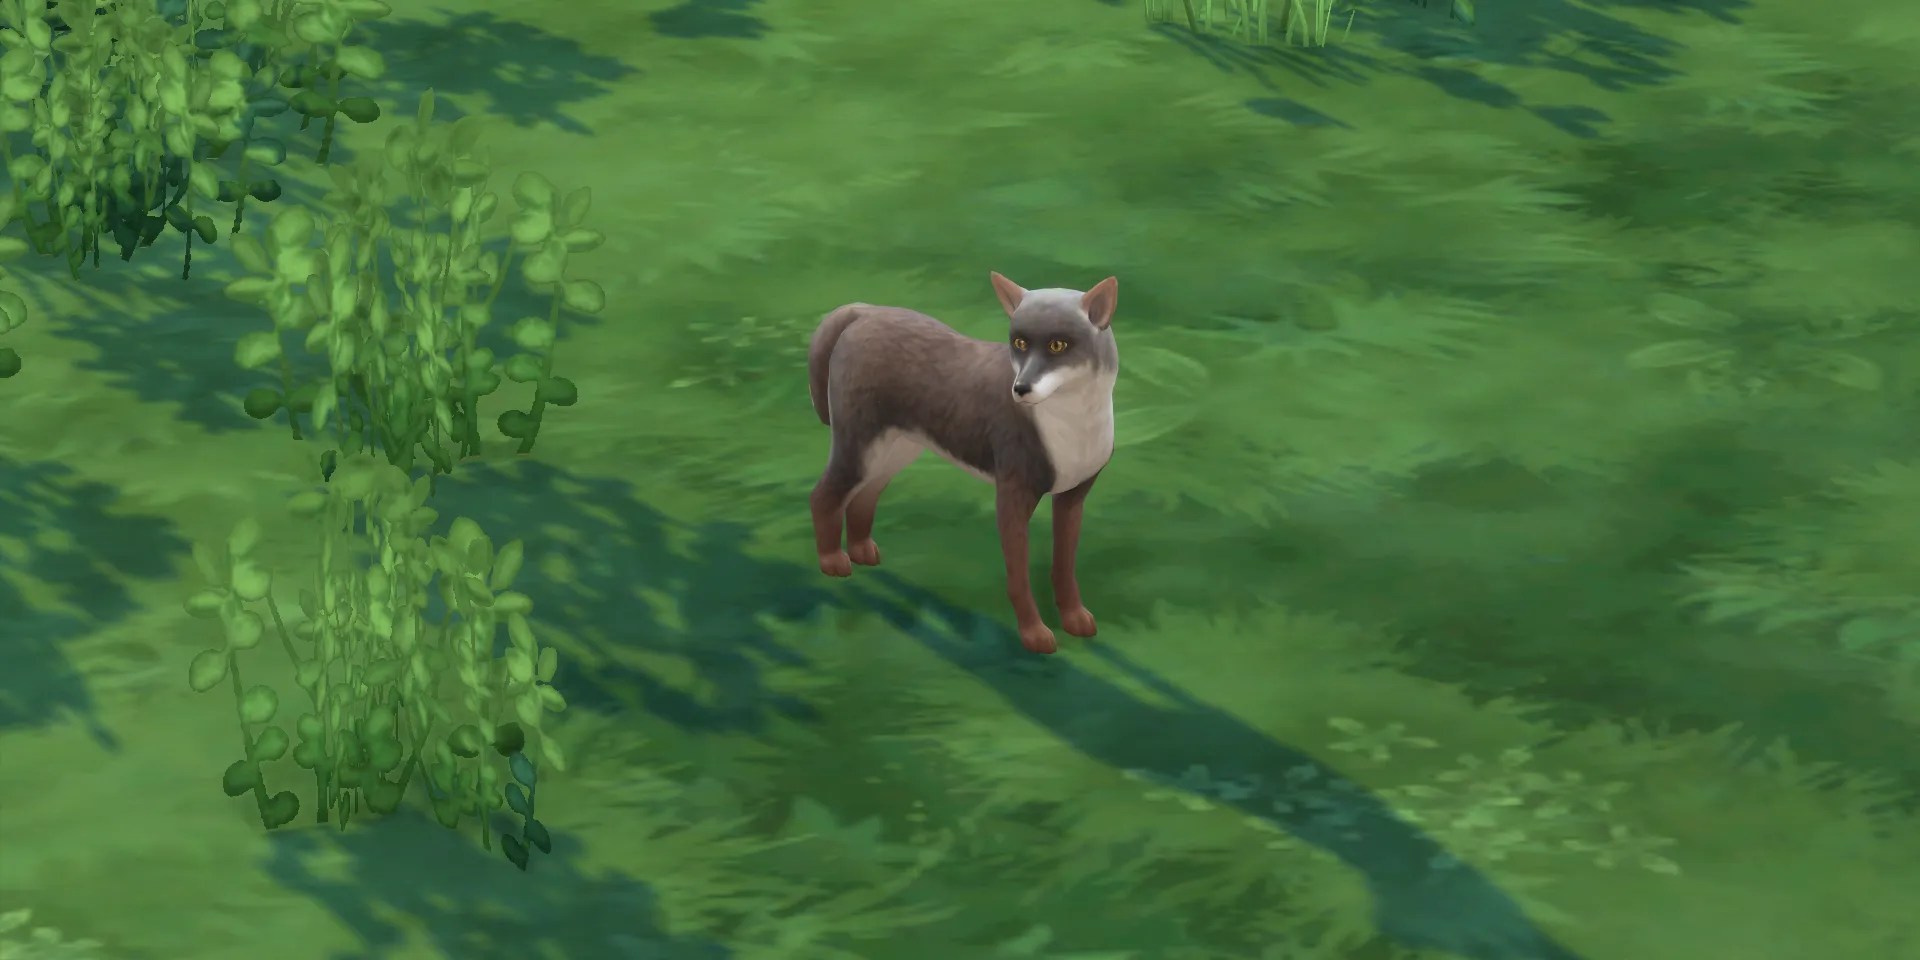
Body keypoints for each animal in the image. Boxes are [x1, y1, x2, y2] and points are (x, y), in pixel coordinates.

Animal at [806, 272, 1121, 655]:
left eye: (1058, 345)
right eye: (1018, 342)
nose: (1020, 389)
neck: (1073, 424)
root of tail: (864, 311)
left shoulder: (1072, 498)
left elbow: (1064, 569)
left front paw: (1074, 619)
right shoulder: (1013, 497)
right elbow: (1019, 578)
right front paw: (1033, 634)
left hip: (892, 453)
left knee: (863, 498)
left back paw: (862, 551)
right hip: (860, 451)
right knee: (823, 496)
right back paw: (832, 561)